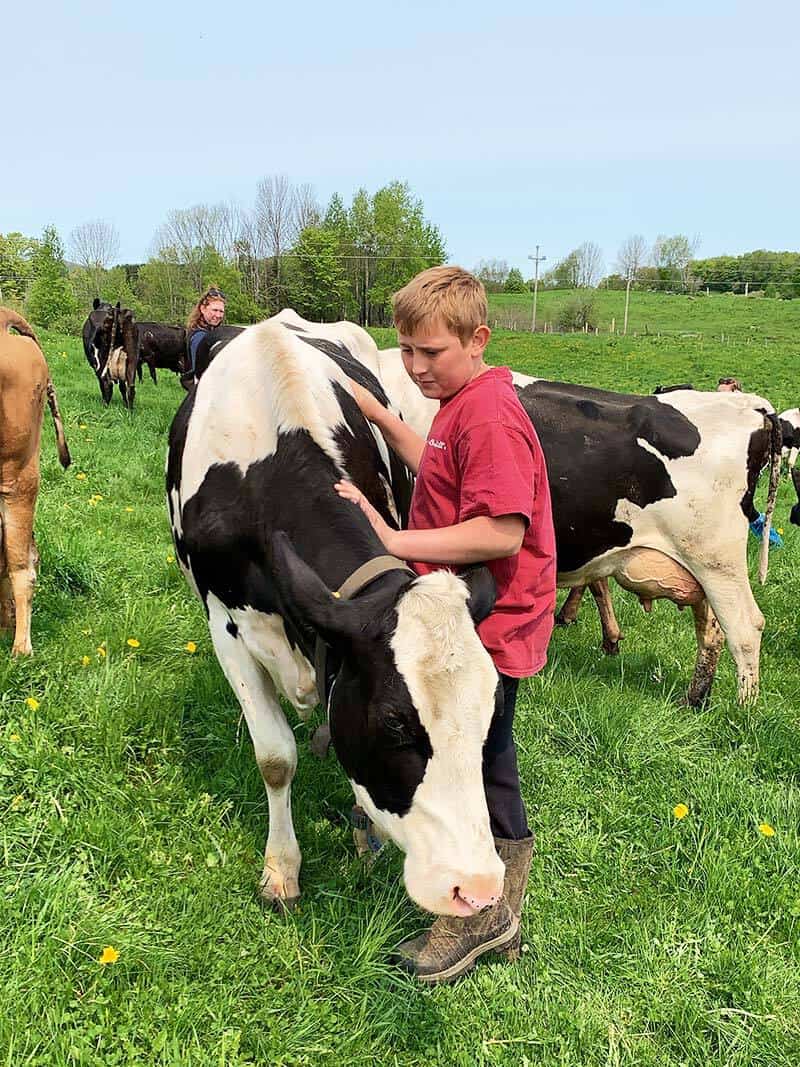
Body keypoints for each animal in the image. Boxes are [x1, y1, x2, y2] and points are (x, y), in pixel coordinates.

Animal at [166, 315, 507, 917]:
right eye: (394, 721)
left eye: (491, 708)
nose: (478, 888)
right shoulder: (225, 626)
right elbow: (275, 756)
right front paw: (281, 870)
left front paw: (363, 836)